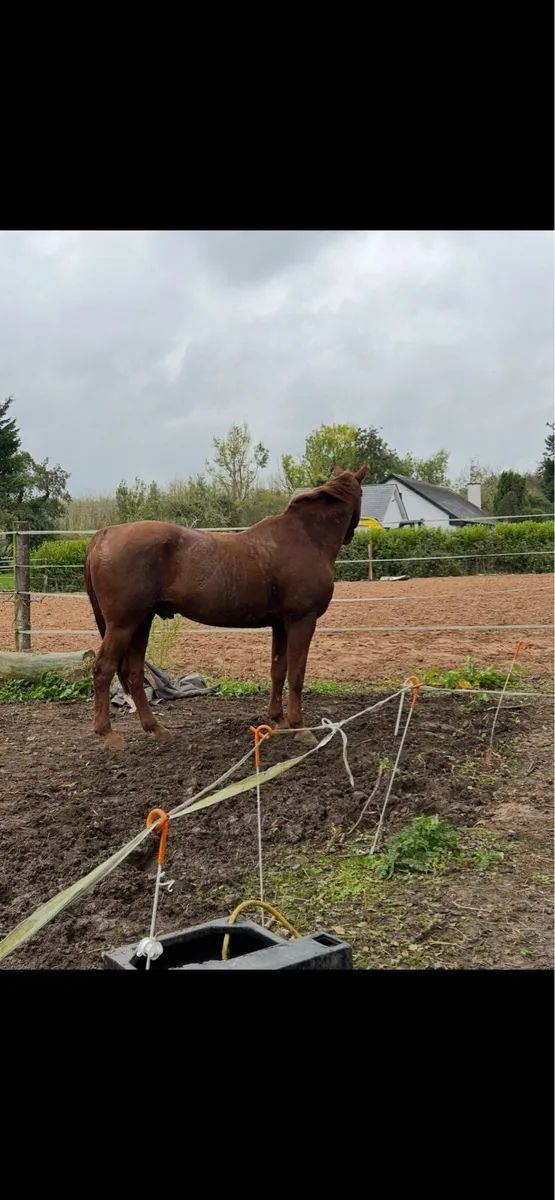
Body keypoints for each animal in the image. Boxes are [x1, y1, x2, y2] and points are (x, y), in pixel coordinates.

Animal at [85, 464, 368, 750]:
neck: (305, 538)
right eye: (363, 493)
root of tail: (105, 534)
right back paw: (109, 733)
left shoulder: (281, 625)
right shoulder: (302, 621)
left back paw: (156, 729)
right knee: (103, 670)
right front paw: (301, 728)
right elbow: (296, 676)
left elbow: (278, 671)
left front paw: (280, 719)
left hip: (141, 622)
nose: (351, 535)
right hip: (123, 625)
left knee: (133, 672)